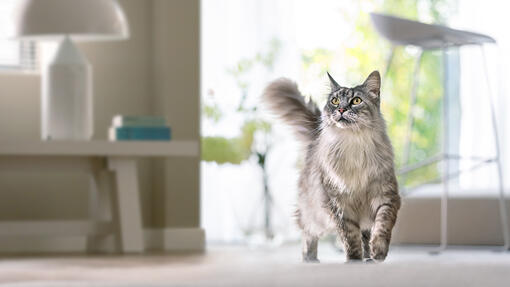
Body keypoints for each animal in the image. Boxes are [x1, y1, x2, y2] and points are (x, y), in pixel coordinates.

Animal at [264, 70, 400, 264]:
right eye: (335, 101)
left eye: (356, 101)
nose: (341, 109)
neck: (353, 145)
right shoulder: (338, 205)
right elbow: (351, 238)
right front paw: (353, 261)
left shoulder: (387, 197)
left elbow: (382, 226)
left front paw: (378, 252)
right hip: (317, 215)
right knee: (308, 232)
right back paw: (310, 258)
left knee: (365, 234)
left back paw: (368, 258)